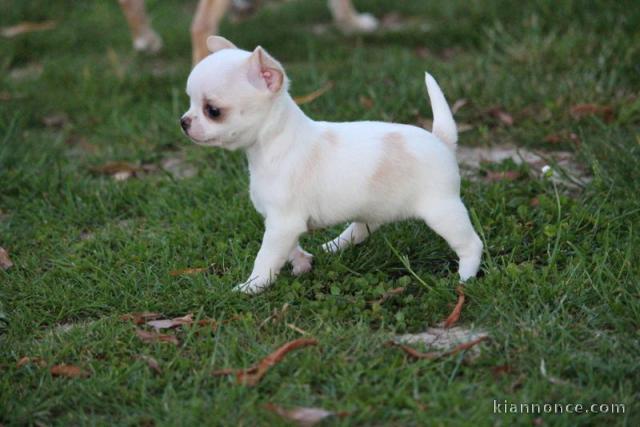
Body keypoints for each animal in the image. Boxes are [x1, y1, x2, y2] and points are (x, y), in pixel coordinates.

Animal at [182, 36, 482, 294]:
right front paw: (302, 262)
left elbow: (266, 257)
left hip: (441, 210)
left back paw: (465, 278)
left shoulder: (283, 222)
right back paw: (334, 245)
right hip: (375, 206)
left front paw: (252, 286)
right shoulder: (280, 222)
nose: (183, 121)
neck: (272, 144)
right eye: (190, 102)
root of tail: (441, 140)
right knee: (361, 229)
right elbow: (286, 248)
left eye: (213, 111)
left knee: (471, 244)